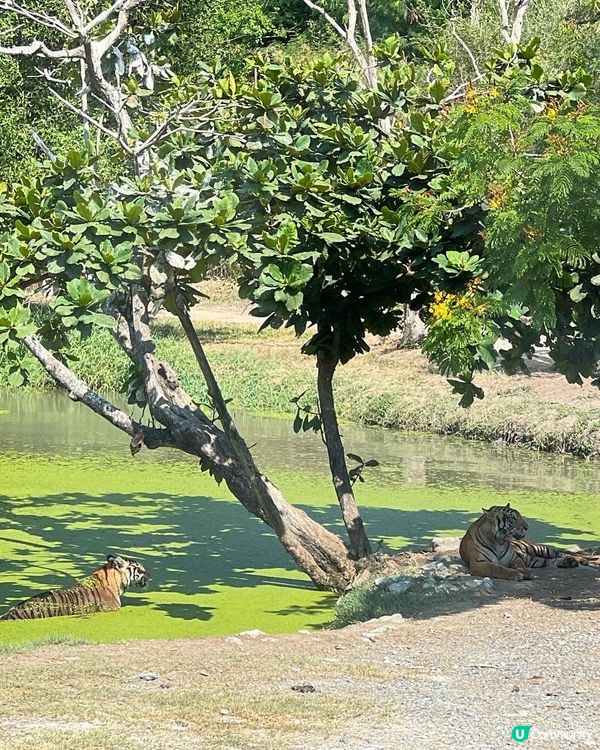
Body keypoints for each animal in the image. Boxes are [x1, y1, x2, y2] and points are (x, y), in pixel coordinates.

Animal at [460, 508, 596, 584]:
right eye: (512, 518)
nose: (527, 527)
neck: (498, 541)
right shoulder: (479, 563)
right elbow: (498, 568)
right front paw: (515, 574)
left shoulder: (514, 558)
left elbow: (521, 565)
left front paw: (526, 573)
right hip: (535, 560)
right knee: (551, 561)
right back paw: (568, 562)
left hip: (541, 549)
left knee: (562, 553)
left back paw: (580, 560)